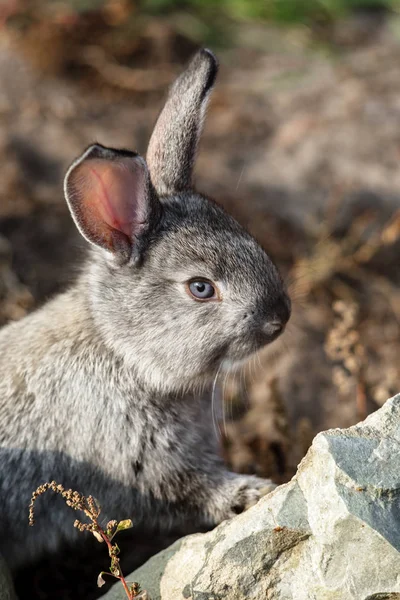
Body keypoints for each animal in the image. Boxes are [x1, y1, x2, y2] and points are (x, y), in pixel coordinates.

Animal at [0, 49, 290, 568]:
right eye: (201, 288)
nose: (281, 318)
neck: (120, 348)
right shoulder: (140, 459)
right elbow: (192, 490)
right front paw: (253, 493)